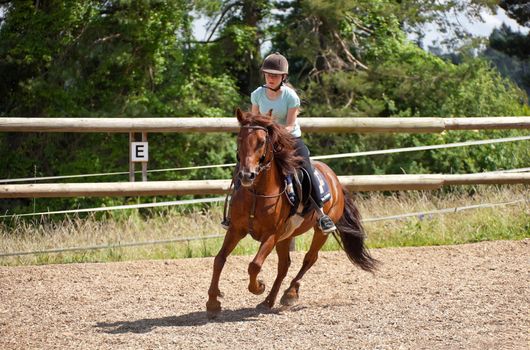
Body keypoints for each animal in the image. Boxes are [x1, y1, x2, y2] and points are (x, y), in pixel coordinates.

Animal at [206, 108, 376, 318]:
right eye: (239, 139)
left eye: (262, 141)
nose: (247, 175)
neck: (257, 194)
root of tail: (335, 179)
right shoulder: (236, 230)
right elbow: (219, 259)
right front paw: (213, 302)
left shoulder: (271, 235)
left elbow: (254, 265)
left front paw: (258, 286)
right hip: (286, 237)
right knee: (284, 265)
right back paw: (268, 301)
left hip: (319, 232)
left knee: (309, 259)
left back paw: (290, 294)